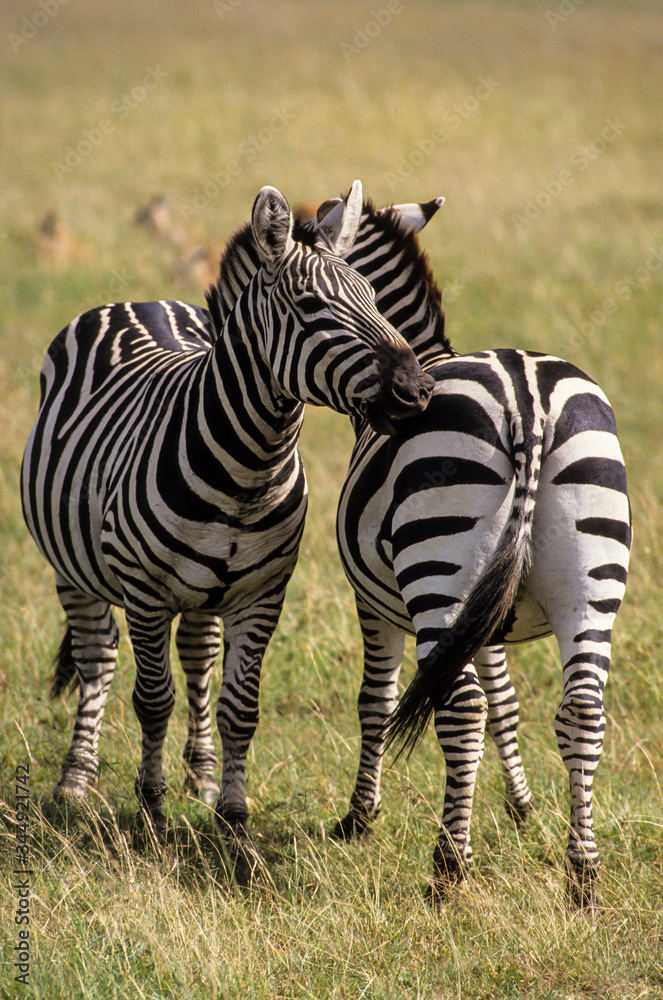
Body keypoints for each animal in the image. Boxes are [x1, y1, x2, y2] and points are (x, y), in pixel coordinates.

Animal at [21, 181, 435, 839]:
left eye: (374, 299)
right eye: (309, 305)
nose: (416, 392)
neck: (249, 469)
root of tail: (143, 301)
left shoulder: (261, 594)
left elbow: (241, 706)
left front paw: (234, 816)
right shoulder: (145, 592)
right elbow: (152, 698)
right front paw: (153, 808)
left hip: (204, 590)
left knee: (196, 657)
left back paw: (203, 776)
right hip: (72, 569)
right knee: (97, 659)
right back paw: (76, 781)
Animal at [332, 200, 631, 908]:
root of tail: (527, 396)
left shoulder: (376, 604)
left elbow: (376, 699)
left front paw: (360, 817)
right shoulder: (487, 615)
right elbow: (507, 702)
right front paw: (522, 807)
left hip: (440, 569)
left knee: (459, 708)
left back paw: (448, 868)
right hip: (589, 574)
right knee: (582, 710)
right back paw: (583, 872)